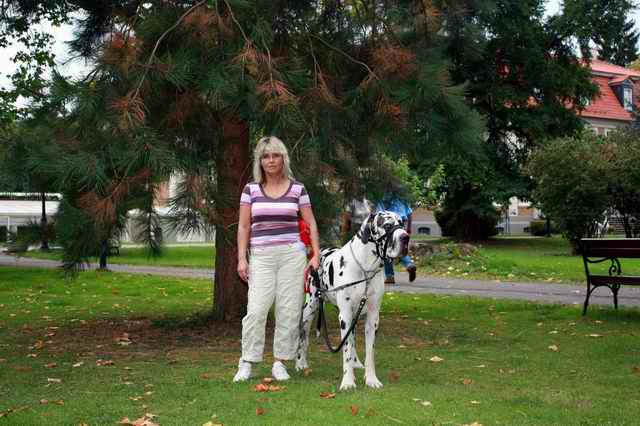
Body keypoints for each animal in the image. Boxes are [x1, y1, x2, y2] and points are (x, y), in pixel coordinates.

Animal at [296, 211, 410, 392]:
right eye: (387, 225)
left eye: (402, 223)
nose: (406, 237)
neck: (365, 268)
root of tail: (321, 250)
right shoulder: (345, 317)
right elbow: (346, 351)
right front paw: (348, 381)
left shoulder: (373, 318)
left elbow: (369, 353)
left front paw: (371, 380)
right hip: (310, 309)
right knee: (303, 337)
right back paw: (301, 363)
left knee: (353, 339)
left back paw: (356, 363)